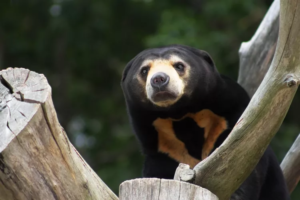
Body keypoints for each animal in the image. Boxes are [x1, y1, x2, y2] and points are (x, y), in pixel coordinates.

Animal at [120, 44, 290, 199]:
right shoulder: (162, 146)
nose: (159, 79)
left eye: (179, 66)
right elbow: (158, 169)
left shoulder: (230, 115)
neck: (180, 113)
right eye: (144, 70)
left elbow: (240, 165)